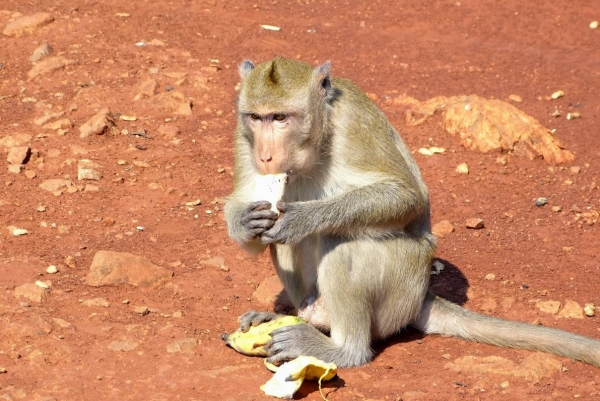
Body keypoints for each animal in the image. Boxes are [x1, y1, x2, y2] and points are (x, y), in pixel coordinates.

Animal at [221, 57, 600, 368]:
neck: (319, 135)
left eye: (280, 117)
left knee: (340, 242)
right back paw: (303, 317)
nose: (265, 156)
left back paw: (342, 349)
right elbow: (251, 207)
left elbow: (406, 197)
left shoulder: (354, 122)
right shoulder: (243, 135)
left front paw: (303, 218)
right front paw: (246, 222)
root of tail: (421, 296)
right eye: (257, 117)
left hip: (402, 284)